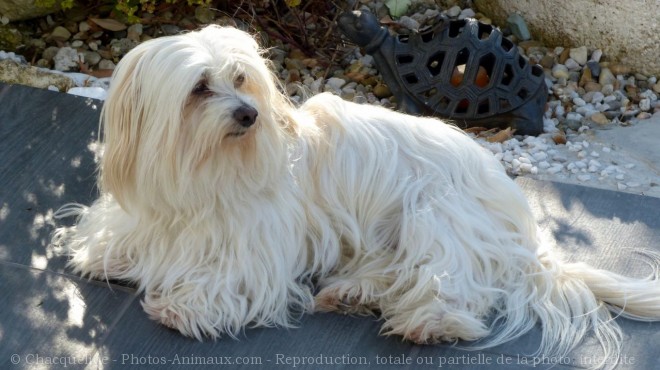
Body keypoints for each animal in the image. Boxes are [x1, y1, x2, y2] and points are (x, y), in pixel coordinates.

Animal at [52, 25, 660, 368]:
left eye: (242, 80)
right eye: (200, 88)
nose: (248, 115)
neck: (204, 168)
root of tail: (525, 236)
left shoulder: (256, 243)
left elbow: (233, 276)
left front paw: (186, 305)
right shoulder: (155, 212)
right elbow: (122, 237)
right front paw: (108, 253)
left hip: (436, 212)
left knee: (458, 286)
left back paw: (428, 321)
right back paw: (353, 292)